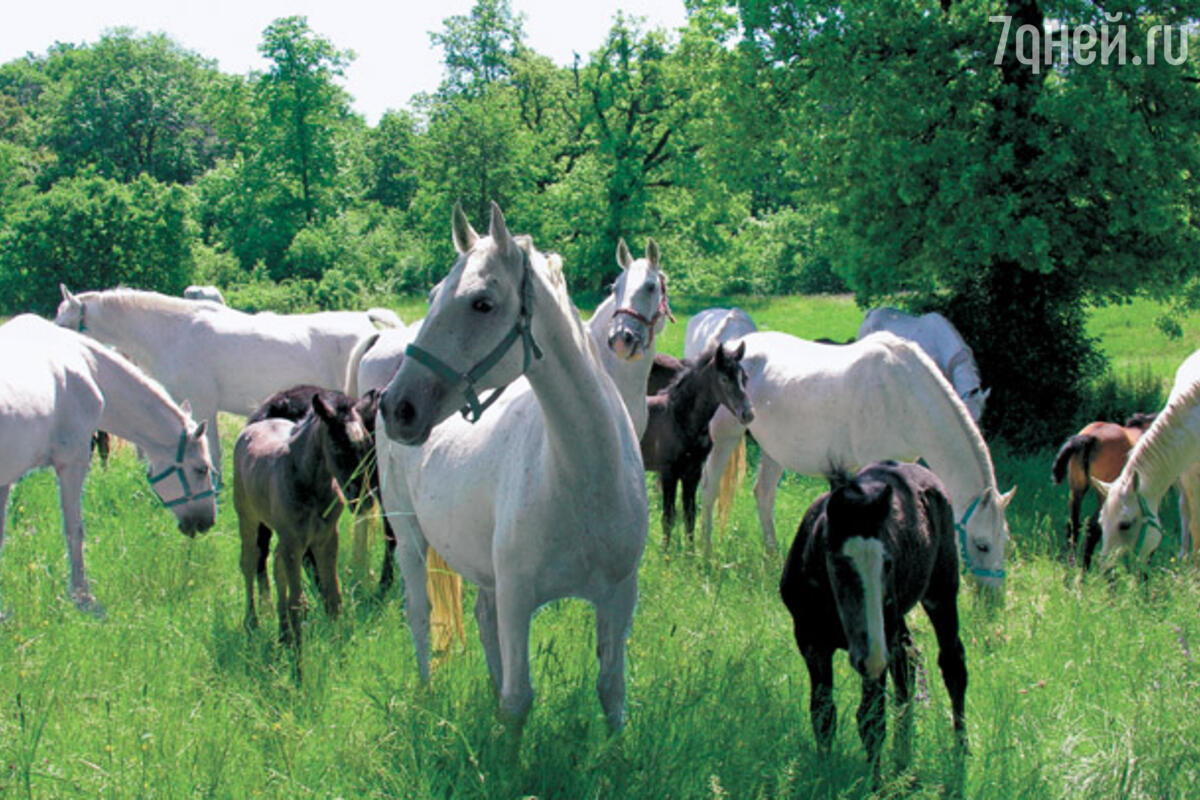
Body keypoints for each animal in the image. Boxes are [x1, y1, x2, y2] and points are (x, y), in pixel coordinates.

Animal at [1, 311, 216, 614]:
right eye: (201, 469)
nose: (207, 522)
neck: (85, 366)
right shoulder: (73, 463)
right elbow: (74, 530)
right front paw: (82, 597)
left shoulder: (5, 481)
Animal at [376, 201, 648, 734]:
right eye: (433, 296)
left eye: (482, 303)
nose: (398, 408)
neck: (584, 481)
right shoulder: (519, 599)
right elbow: (518, 699)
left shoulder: (618, 596)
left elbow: (612, 690)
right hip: (409, 536)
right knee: (419, 615)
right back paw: (426, 695)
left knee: (483, 619)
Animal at [696, 331, 1012, 587]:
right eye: (982, 545)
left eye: (1005, 540)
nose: (992, 597)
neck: (905, 392)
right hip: (725, 436)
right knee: (709, 490)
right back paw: (705, 553)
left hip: (774, 450)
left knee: (763, 494)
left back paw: (773, 556)